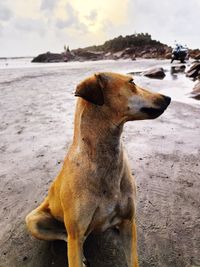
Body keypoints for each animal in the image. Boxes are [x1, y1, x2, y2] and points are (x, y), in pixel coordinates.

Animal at [26, 71, 170, 267]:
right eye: (132, 82)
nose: (168, 98)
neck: (103, 158)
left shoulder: (128, 222)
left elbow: (132, 259)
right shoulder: (76, 232)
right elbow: (74, 243)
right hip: (34, 221)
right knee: (67, 236)